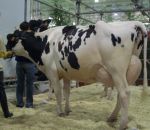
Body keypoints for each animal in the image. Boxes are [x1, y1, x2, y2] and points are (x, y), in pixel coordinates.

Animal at [6, 20, 148, 130]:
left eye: (12, 38)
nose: (6, 47)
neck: (45, 42)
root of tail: (133, 23)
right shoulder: (66, 73)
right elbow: (67, 92)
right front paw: (67, 110)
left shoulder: (52, 72)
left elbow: (58, 92)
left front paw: (60, 112)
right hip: (126, 70)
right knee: (120, 94)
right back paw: (112, 117)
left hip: (116, 69)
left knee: (124, 93)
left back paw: (122, 124)